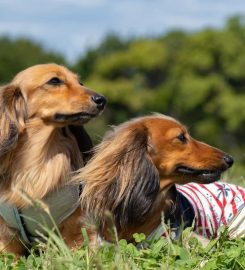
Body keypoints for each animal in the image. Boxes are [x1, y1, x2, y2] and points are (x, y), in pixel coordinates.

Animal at [0, 63, 106, 255]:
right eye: (54, 81)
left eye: (80, 82)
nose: (102, 100)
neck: (40, 160)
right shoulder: (6, 234)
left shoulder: (76, 226)